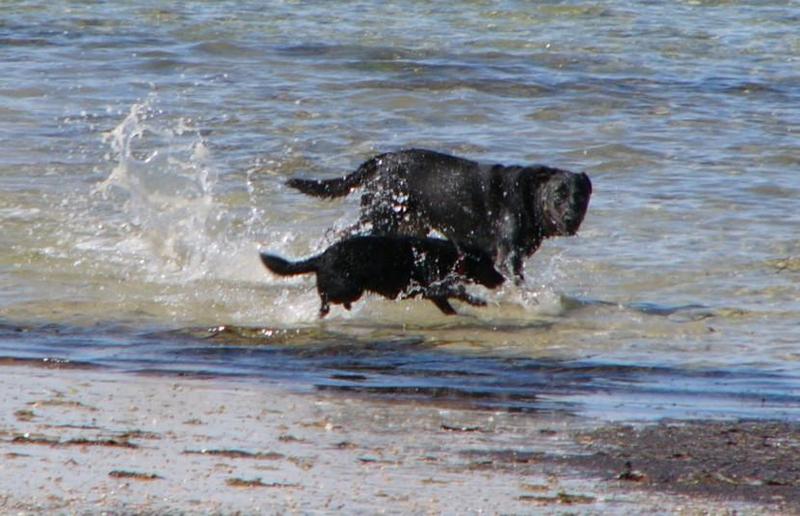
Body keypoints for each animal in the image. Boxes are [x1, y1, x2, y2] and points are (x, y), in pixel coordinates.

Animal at [260, 236, 504, 316]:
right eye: (489, 265)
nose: (502, 279)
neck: (453, 258)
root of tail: (321, 258)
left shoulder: (435, 295)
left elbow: (448, 305)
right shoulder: (433, 287)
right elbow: (458, 291)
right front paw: (478, 302)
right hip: (349, 287)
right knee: (326, 300)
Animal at [284, 147, 592, 280]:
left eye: (580, 198)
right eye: (558, 195)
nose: (571, 218)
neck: (529, 200)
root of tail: (382, 160)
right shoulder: (507, 258)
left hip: (407, 224)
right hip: (381, 216)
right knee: (338, 233)